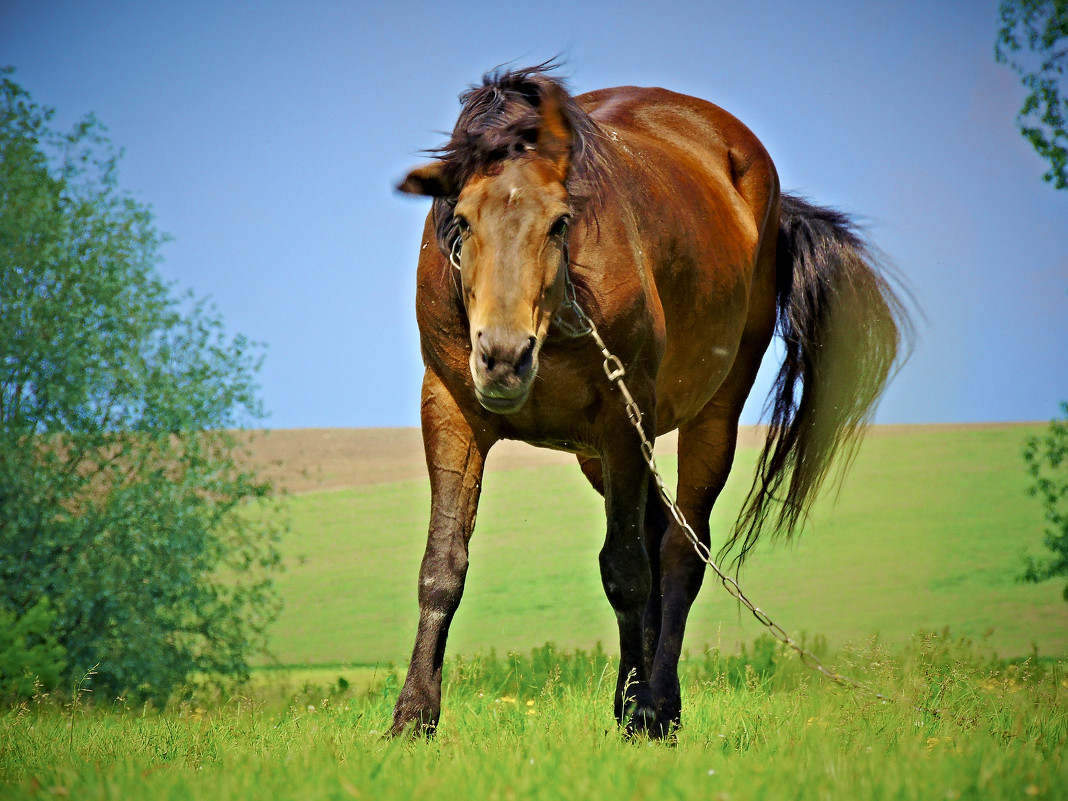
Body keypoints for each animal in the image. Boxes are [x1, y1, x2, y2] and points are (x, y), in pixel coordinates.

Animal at [393, 64, 909, 739]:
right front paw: (412, 717)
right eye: (463, 220)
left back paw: (657, 704)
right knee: (658, 533)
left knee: (679, 554)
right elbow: (442, 567)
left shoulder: (622, 416)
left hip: (709, 414)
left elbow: (627, 570)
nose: (504, 356)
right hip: (598, 453)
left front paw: (638, 715)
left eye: (560, 222)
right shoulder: (452, 410)